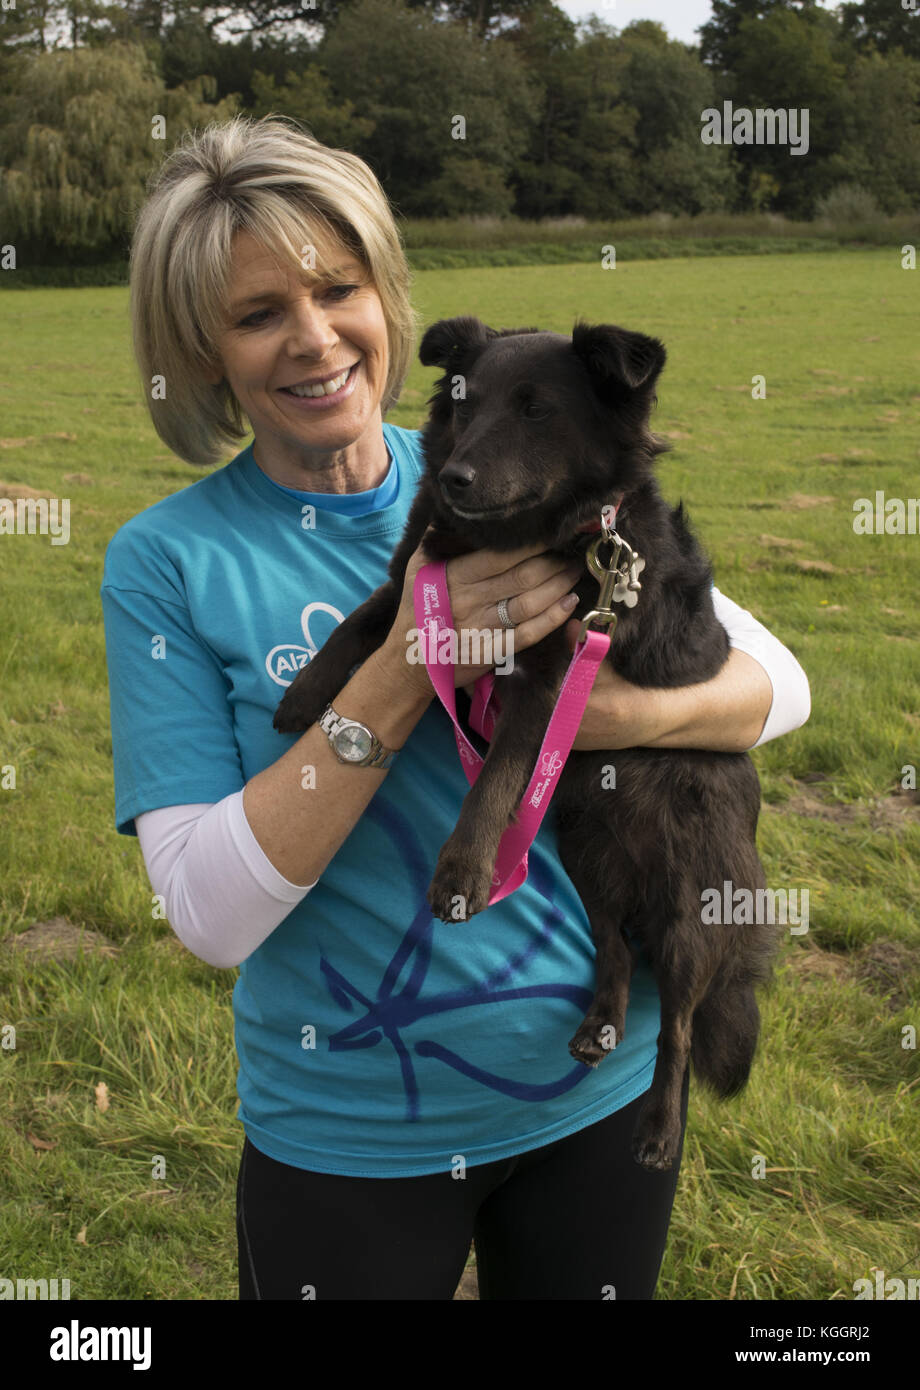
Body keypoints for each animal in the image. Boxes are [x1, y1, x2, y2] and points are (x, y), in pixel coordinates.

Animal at [273, 318, 778, 1173]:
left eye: (537, 410)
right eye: (465, 402)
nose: (456, 479)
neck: (522, 537)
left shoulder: (550, 679)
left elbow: (497, 778)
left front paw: (463, 873)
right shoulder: (418, 582)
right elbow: (364, 619)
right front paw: (307, 695)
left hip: (689, 907)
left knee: (678, 1024)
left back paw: (658, 1129)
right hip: (588, 858)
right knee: (615, 952)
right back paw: (598, 1027)